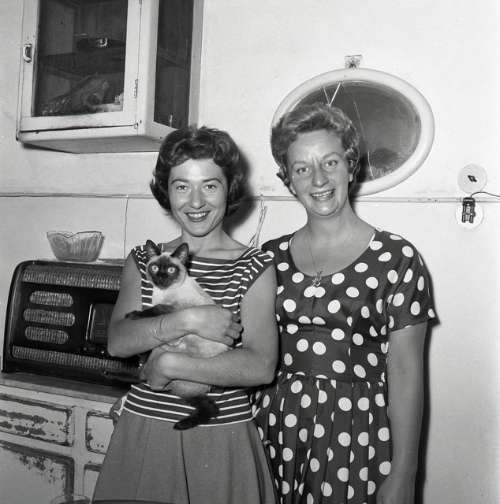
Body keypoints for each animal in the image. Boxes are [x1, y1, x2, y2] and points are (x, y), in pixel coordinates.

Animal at [125, 239, 230, 430]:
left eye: (171, 270)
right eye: (154, 268)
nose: (161, 278)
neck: (163, 292)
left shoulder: (176, 308)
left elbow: (154, 309)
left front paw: (133, 315)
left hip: (180, 379)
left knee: (211, 408)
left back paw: (181, 425)